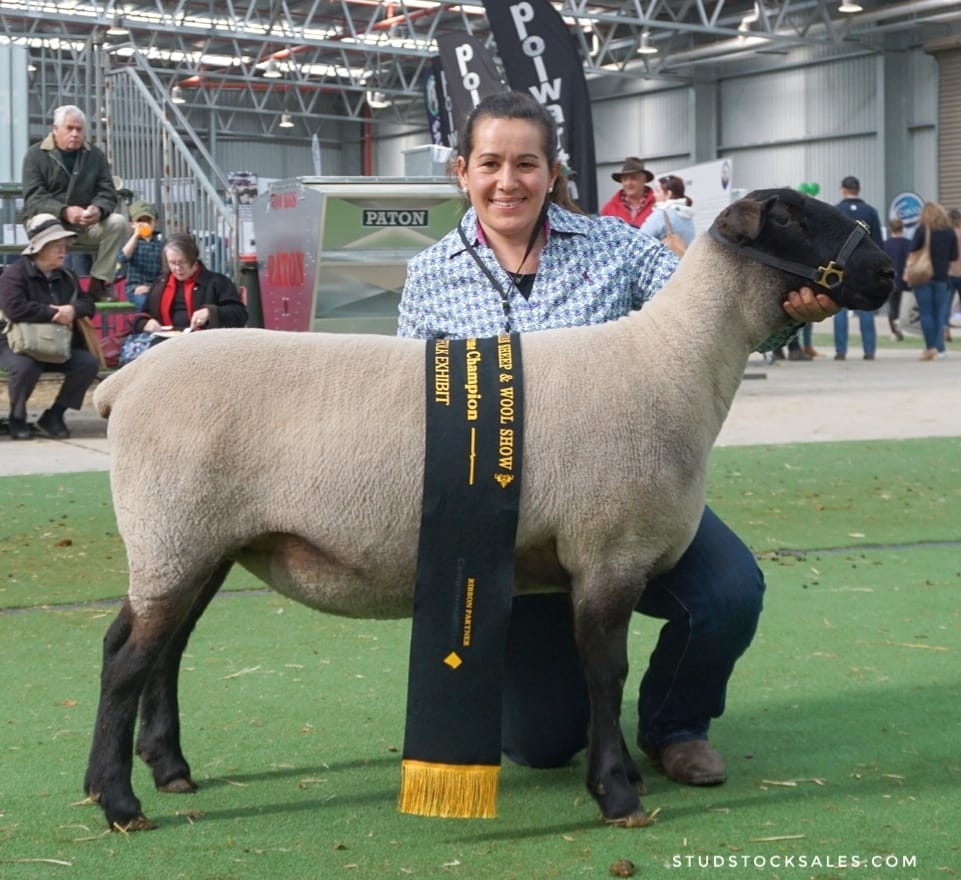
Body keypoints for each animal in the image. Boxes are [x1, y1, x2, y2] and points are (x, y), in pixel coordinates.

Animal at [80, 187, 892, 832]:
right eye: (794, 217)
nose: (885, 271)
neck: (675, 362)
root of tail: (124, 385)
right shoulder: (609, 549)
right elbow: (606, 673)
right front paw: (618, 793)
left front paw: (625, 778)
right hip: (174, 529)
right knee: (126, 657)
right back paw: (119, 801)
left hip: (197, 539)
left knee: (159, 649)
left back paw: (166, 770)